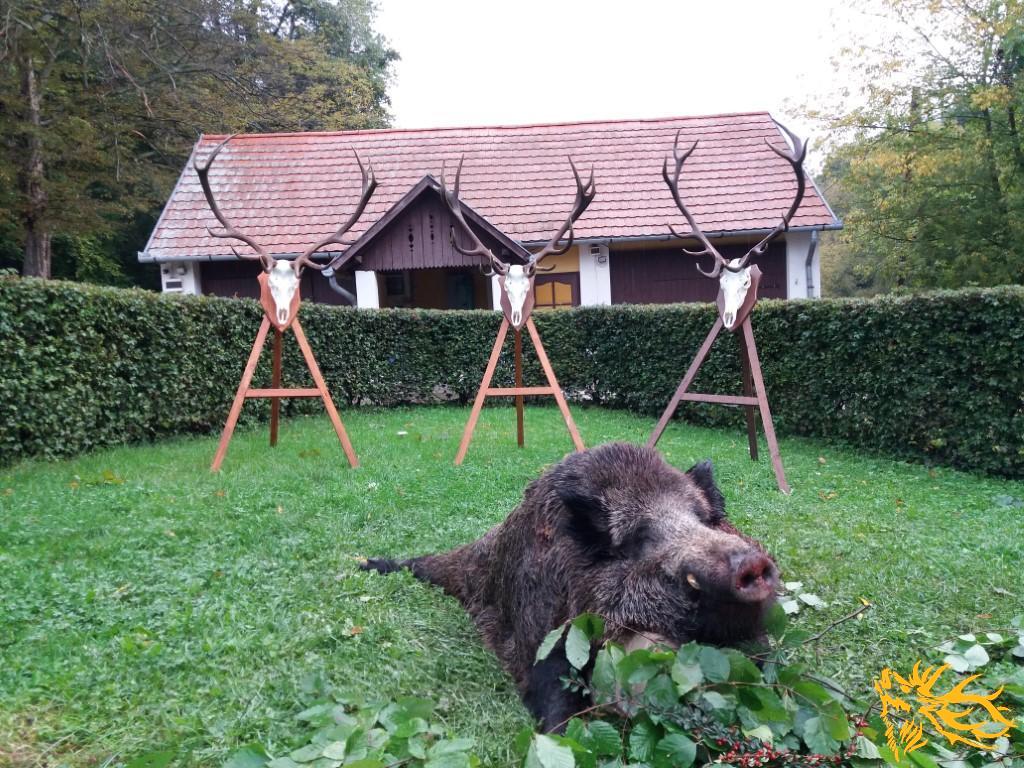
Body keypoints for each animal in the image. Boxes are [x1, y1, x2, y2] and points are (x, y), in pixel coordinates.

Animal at [361, 442, 778, 731]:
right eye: (638, 539)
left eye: (704, 520)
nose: (750, 563)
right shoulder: (545, 637)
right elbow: (553, 701)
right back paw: (368, 564)